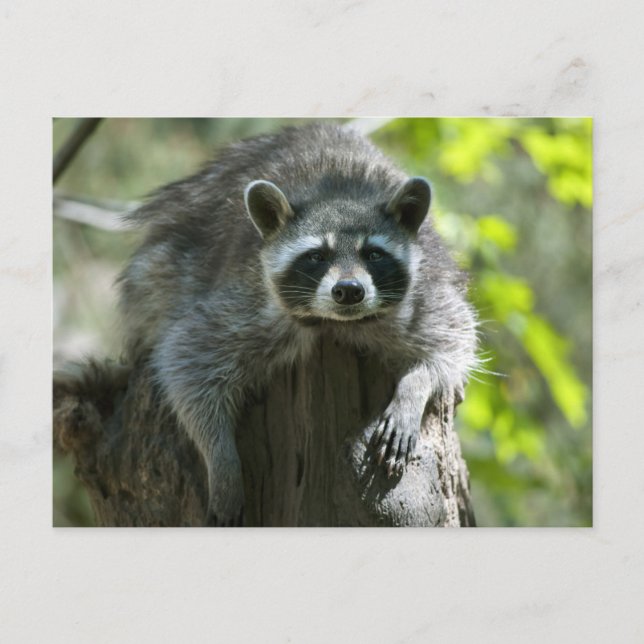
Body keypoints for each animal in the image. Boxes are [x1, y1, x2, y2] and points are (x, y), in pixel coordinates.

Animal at [118, 122, 478, 526]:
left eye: (373, 254)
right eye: (316, 256)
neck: (334, 323)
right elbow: (187, 360)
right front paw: (221, 457)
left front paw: (412, 391)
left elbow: (451, 342)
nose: (349, 291)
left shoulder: (425, 295)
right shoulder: (246, 302)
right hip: (163, 264)